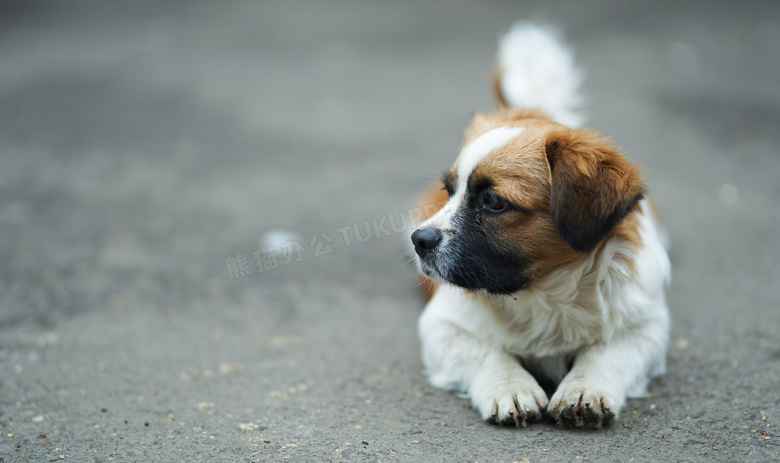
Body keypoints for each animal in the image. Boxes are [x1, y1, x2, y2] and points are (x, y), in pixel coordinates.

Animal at [408, 22, 672, 428]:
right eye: (449, 191)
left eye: (494, 202)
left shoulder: (648, 327)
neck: (543, 293)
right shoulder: (441, 326)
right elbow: (486, 352)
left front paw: (584, 387)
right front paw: (510, 386)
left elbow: (607, 353)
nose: (419, 240)